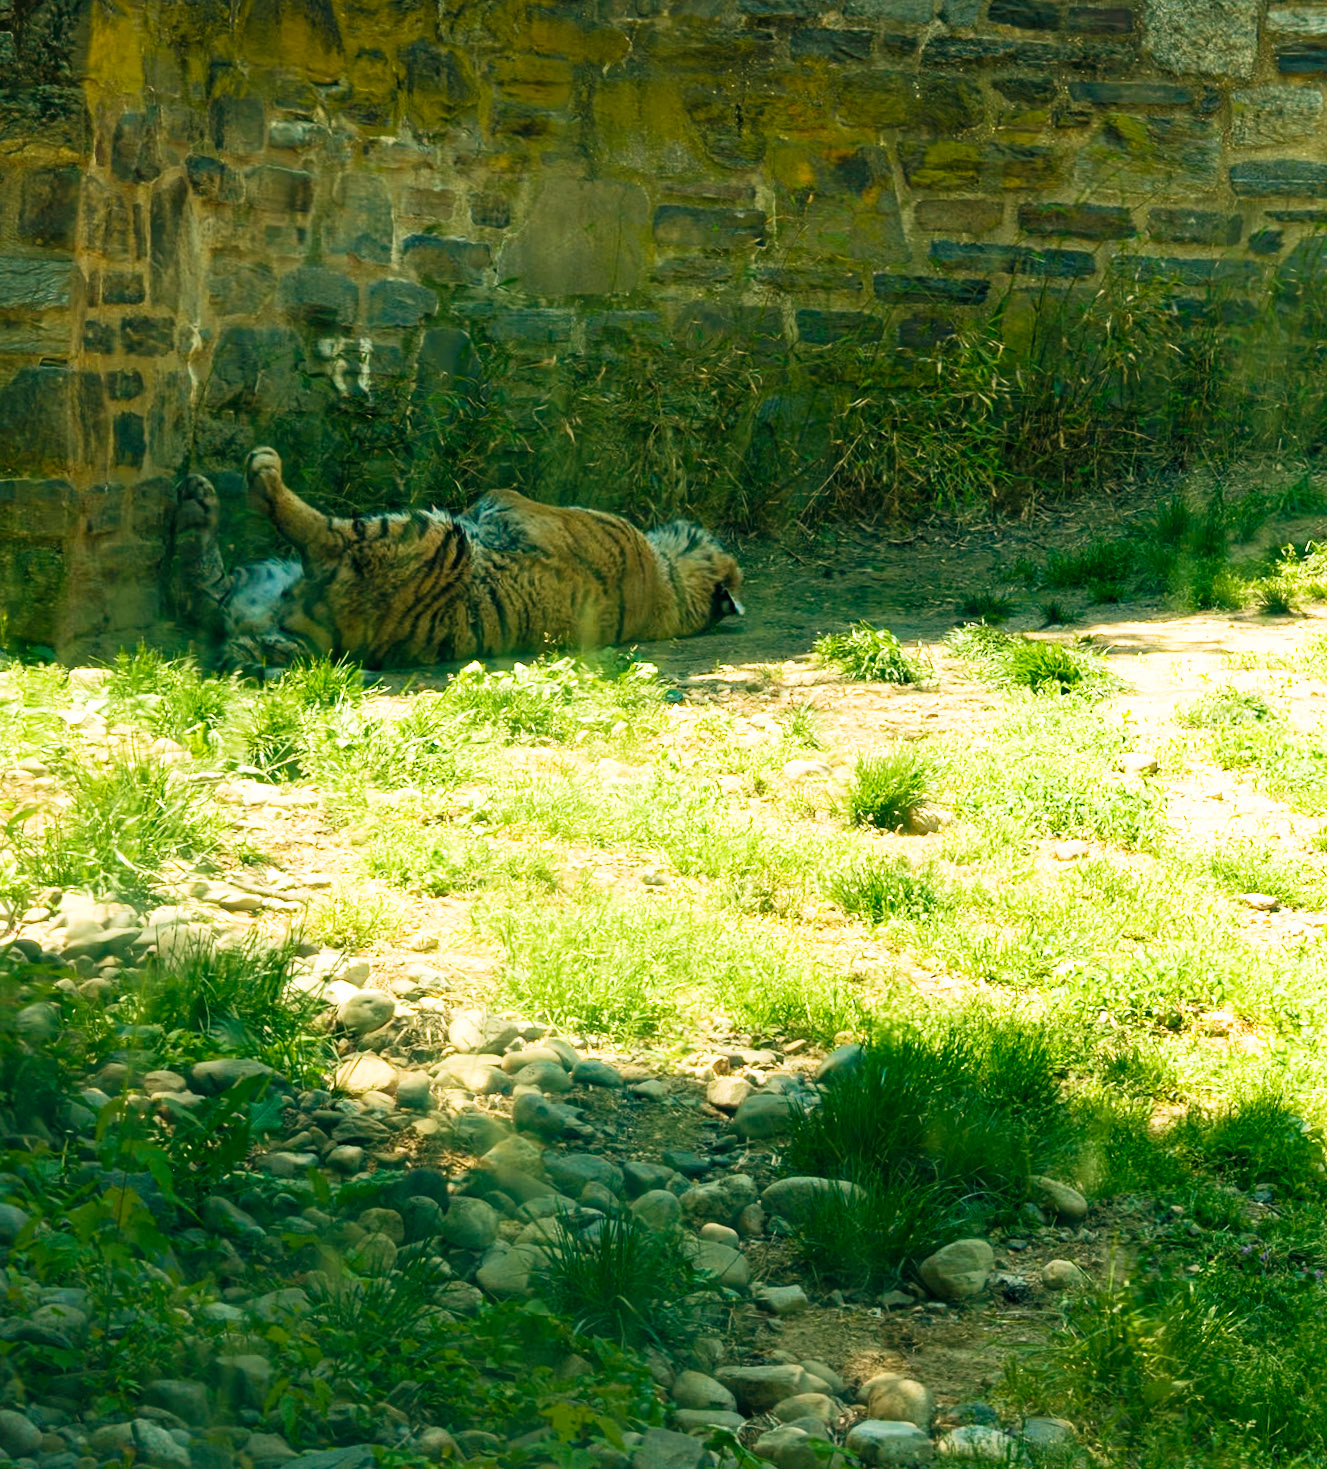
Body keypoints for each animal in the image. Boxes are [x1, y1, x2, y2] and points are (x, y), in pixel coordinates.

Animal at [169, 446, 744, 672]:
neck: (671, 587)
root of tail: (318, 640)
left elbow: (501, 495)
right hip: (263, 576)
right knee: (201, 593)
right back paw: (197, 502)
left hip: (415, 536)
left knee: (316, 532)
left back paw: (258, 471)